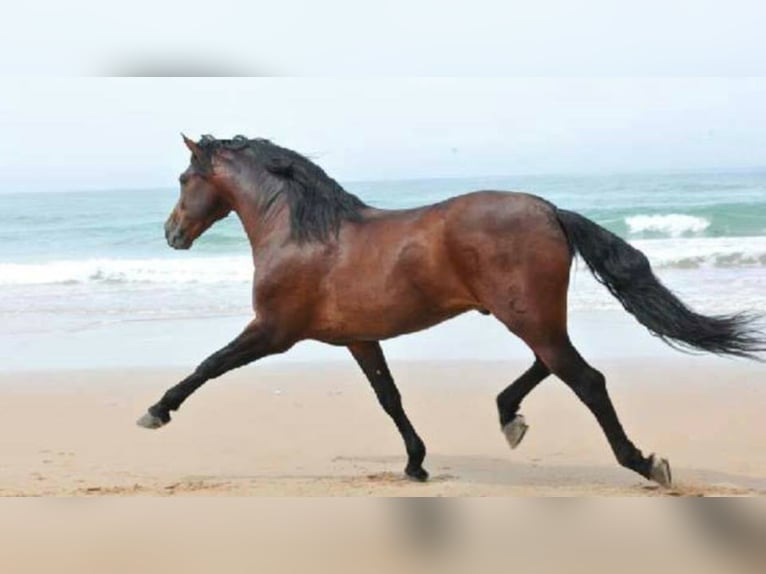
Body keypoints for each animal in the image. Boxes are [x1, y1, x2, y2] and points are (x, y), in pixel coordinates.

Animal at [137, 134, 765, 487]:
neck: (302, 234)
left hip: (524, 314)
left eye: (184, 177)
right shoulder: (359, 339)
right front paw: (416, 464)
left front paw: (156, 411)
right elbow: (389, 399)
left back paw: (642, 462)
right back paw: (510, 416)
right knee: (553, 364)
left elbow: (208, 366)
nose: (171, 233)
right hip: (529, 314)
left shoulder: (273, 331)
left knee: (585, 378)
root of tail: (549, 209)